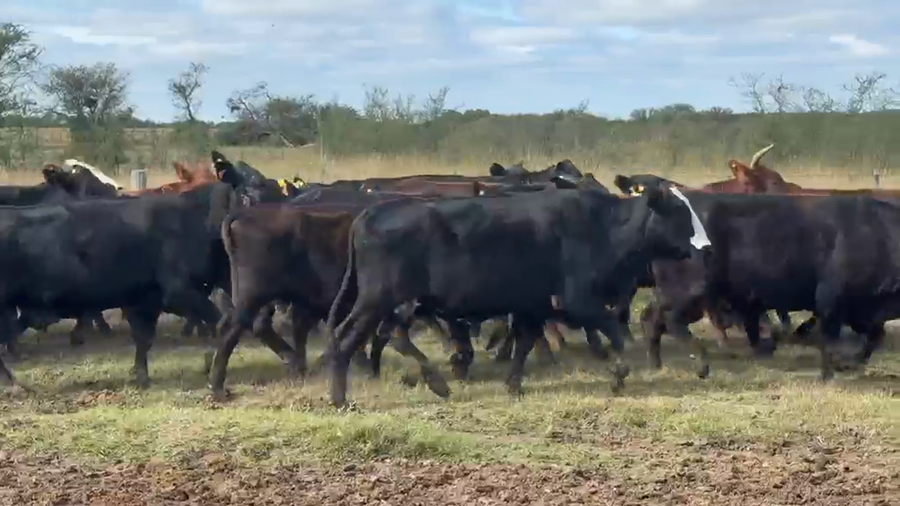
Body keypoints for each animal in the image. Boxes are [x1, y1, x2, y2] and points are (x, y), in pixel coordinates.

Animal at [324, 183, 711, 407]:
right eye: (678, 211)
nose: (706, 246)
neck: (602, 226)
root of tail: (371, 212)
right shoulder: (576, 300)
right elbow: (614, 332)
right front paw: (619, 374)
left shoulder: (533, 306)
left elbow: (524, 344)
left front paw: (514, 386)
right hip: (377, 299)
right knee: (346, 338)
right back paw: (341, 400)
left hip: (399, 302)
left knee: (390, 335)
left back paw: (436, 383)